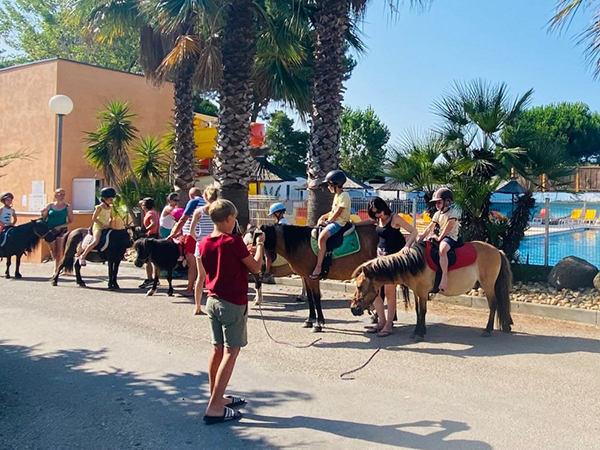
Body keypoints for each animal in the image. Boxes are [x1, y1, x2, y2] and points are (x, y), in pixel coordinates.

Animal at [350, 243, 512, 342]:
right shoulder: (417, 293)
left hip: (488, 286)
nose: (353, 309)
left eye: (359, 286)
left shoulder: (422, 293)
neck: (415, 263)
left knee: (493, 305)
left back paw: (488, 330)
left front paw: (420, 333)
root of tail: (497, 251)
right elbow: (417, 312)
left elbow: (422, 312)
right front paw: (416, 331)